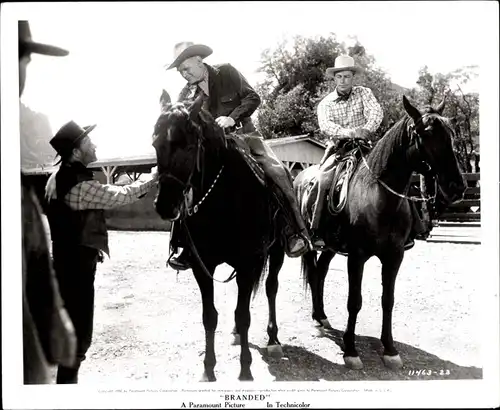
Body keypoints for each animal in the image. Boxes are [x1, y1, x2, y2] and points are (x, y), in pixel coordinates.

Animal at [294, 97, 466, 372]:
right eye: (427, 133)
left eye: (450, 133)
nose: (457, 187)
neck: (379, 200)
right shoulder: (357, 257)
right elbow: (354, 301)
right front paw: (351, 350)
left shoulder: (394, 256)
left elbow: (388, 300)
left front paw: (390, 349)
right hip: (312, 243)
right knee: (312, 273)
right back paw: (317, 320)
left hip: (331, 247)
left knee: (320, 273)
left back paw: (321, 316)